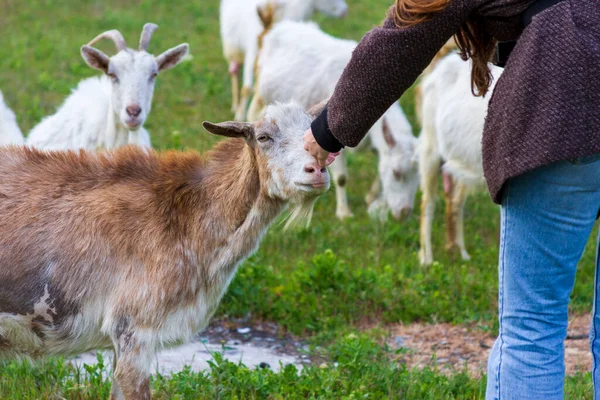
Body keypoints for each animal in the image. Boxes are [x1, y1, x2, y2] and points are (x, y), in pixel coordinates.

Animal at [247, 18, 418, 220]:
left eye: (418, 178)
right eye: (396, 173)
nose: (404, 213)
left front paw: (370, 198)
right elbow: (342, 178)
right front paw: (344, 213)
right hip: (261, 94)